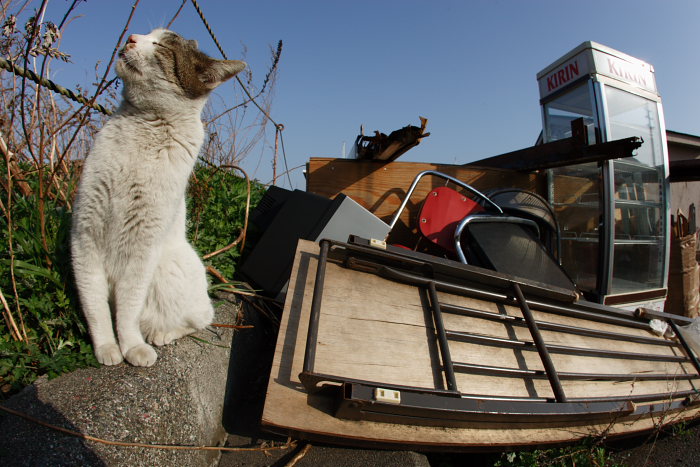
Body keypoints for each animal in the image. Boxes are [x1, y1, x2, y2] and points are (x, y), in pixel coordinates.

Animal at [71, 27, 246, 368]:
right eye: (147, 34)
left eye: (161, 45)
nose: (131, 37)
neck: (145, 123)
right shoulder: (84, 238)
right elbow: (95, 307)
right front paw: (107, 348)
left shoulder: (142, 250)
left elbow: (127, 308)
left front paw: (132, 347)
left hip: (171, 265)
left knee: (200, 320)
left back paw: (159, 334)